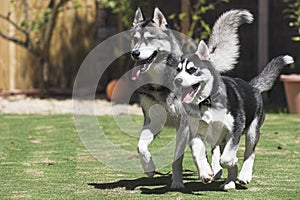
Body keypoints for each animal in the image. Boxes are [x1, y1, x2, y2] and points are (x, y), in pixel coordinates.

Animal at [131, 7, 253, 188]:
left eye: (150, 38)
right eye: (134, 39)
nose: (135, 53)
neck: (160, 82)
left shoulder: (184, 125)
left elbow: (178, 158)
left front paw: (178, 182)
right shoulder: (154, 120)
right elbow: (141, 147)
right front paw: (149, 168)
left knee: (215, 147)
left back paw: (216, 168)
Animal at [173, 40, 292, 189]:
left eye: (192, 69)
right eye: (178, 70)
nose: (177, 80)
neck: (207, 102)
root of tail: (252, 87)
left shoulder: (235, 129)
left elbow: (226, 159)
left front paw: (232, 162)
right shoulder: (196, 132)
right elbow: (198, 153)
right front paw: (205, 172)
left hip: (252, 132)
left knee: (250, 153)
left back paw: (244, 175)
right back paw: (229, 182)